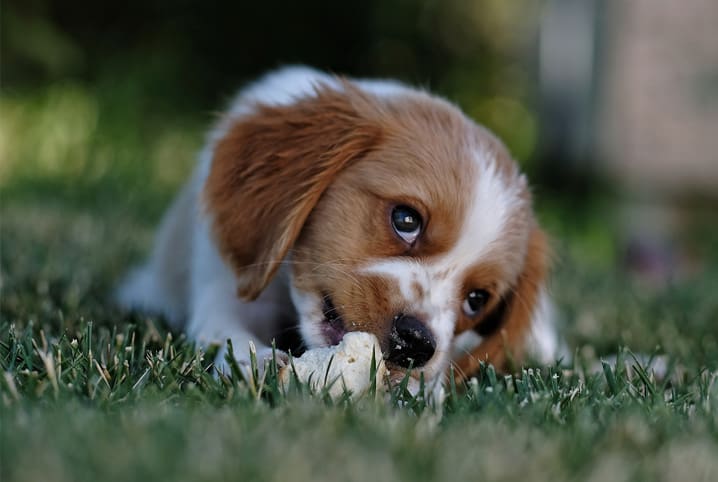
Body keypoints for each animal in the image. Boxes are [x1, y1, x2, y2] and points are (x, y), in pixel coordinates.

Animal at [115, 66, 564, 394]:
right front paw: (258, 362)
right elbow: (227, 331)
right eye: (406, 219)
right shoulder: (224, 286)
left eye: (476, 300)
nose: (416, 343)